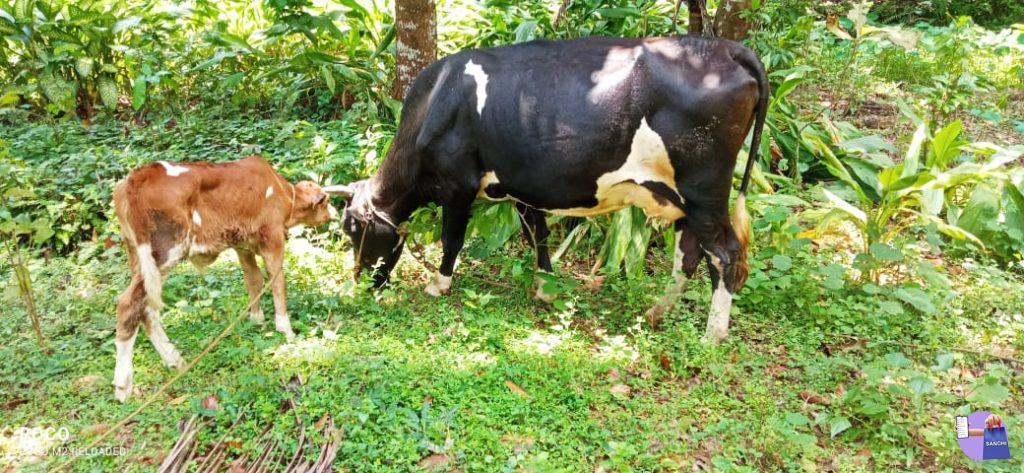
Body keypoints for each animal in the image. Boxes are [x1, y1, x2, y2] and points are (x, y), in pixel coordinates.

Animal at [111, 156, 336, 401]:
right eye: (325, 201)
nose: (334, 212)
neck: (282, 191)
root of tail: (137, 176)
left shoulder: (242, 245)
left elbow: (253, 280)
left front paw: (256, 319)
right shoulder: (273, 238)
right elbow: (277, 282)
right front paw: (286, 330)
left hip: (140, 257)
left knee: (146, 309)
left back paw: (175, 361)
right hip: (164, 250)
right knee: (128, 304)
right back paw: (123, 386)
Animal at [324, 35, 768, 343]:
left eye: (353, 230)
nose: (360, 284)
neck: (436, 102)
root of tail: (726, 48)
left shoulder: (458, 185)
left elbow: (453, 239)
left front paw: (439, 284)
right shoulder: (520, 186)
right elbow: (536, 234)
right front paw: (546, 288)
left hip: (704, 189)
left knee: (724, 255)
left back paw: (712, 335)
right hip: (680, 199)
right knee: (688, 255)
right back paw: (657, 314)